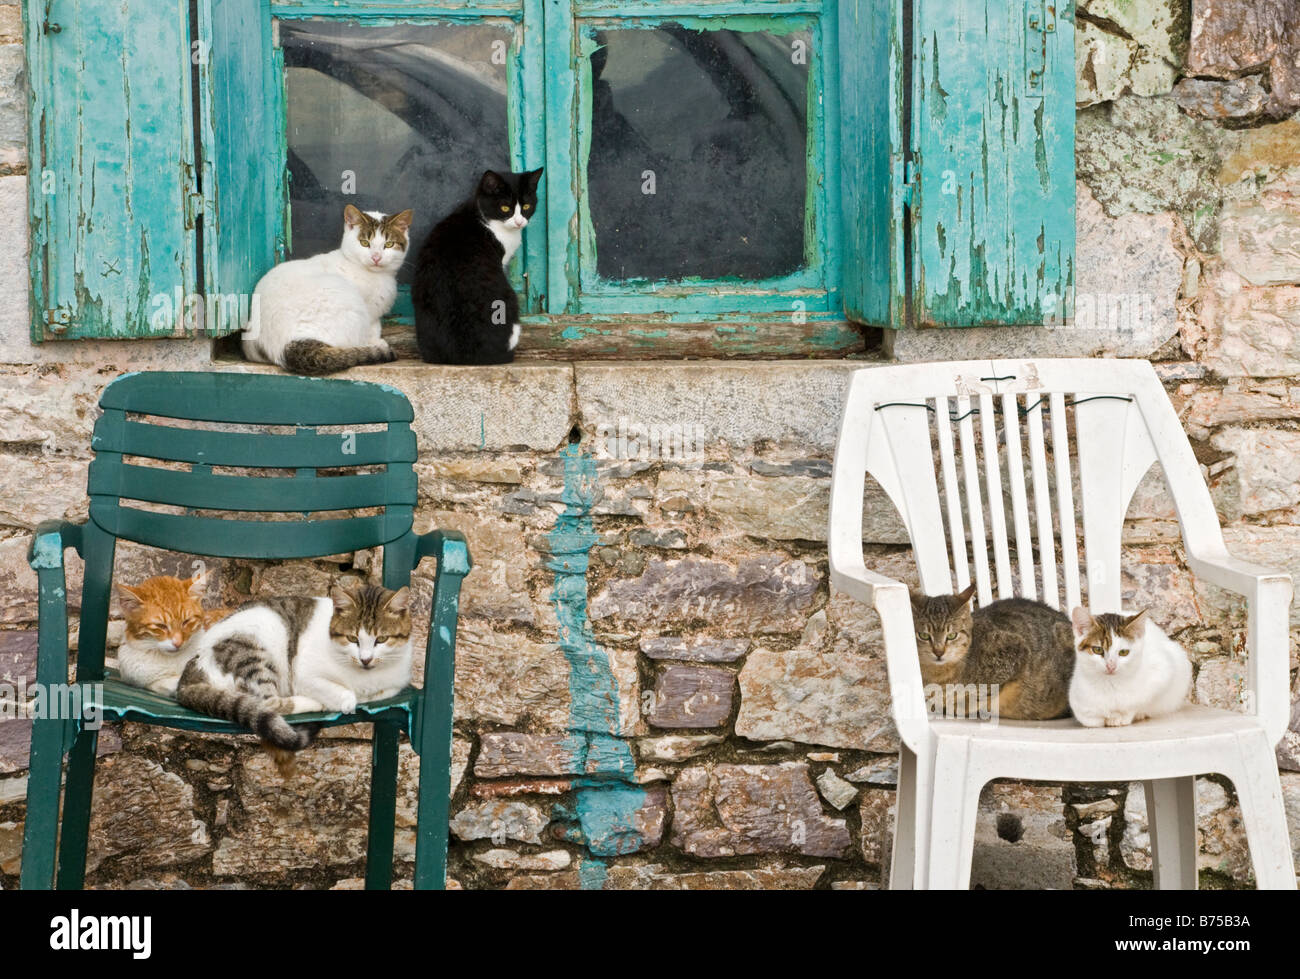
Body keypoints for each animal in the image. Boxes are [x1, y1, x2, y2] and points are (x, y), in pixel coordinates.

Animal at [178, 579, 408, 748]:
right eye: (352, 639)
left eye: (381, 639)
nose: (365, 659)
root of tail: (191, 669)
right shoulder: (304, 676)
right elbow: (347, 694)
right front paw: (344, 700)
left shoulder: (396, 685)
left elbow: (382, 692)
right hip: (256, 649)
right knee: (270, 704)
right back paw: (312, 703)